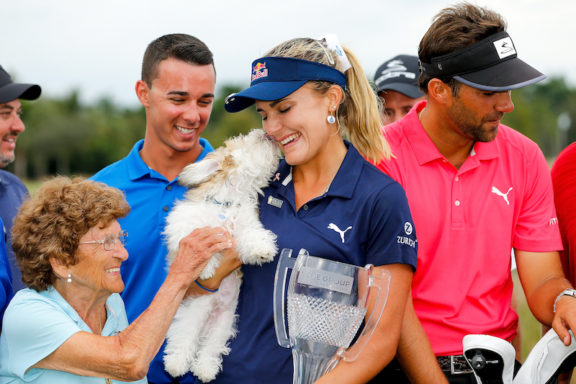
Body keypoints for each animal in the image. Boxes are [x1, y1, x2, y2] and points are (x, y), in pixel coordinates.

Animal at [163, 128, 280, 380]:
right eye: (243, 139)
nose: (264, 131)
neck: (229, 201)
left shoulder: (246, 227)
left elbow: (252, 236)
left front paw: (262, 249)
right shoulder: (183, 223)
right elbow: (193, 236)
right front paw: (206, 267)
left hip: (223, 326)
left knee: (209, 349)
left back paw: (205, 369)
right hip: (190, 316)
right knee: (182, 340)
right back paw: (176, 364)